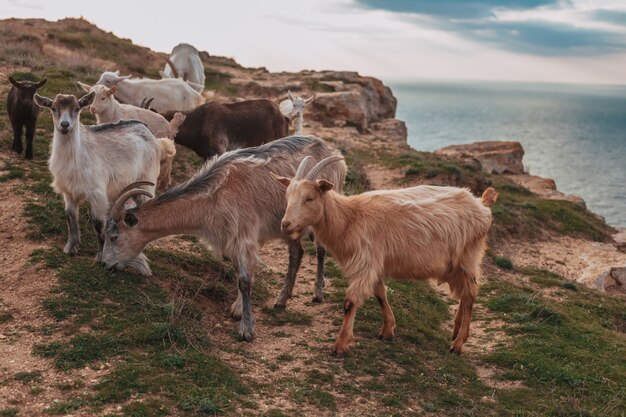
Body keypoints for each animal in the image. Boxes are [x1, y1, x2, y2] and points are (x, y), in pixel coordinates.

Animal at [33, 92, 161, 264]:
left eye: (77, 108)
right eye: (53, 108)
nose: (65, 125)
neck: (77, 154)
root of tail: (145, 129)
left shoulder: (97, 194)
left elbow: (98, 223)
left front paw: (100, 257)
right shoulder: (69, 192)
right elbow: (70, 218)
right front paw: (70, 248)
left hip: (146, 183)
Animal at [102, 136, 346, 342]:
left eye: (114, 237)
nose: (104, 264)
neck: (214, 195)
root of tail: (330, 150)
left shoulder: (243, 234)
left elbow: (245, 280)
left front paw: (247, 330)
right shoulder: (233, 238)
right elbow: (240, 273)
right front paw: (237, 310)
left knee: (320, 250)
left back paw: (317, 293)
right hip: (288, 224)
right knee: (297, 252)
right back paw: (282, 299)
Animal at [276, 156, 498, 354]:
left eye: (309, 198)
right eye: (287, 196)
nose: (285, 225)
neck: (350, 218)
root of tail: (481, 205)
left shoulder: (365, 262)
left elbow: (350, 302)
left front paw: (340, 345)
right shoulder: (374, 264)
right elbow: (380, 294)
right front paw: (387, 330)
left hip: (468, 256)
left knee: (470, 293)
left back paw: (458, 344)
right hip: (454, 265)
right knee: (465, 293)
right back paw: (456, 330)